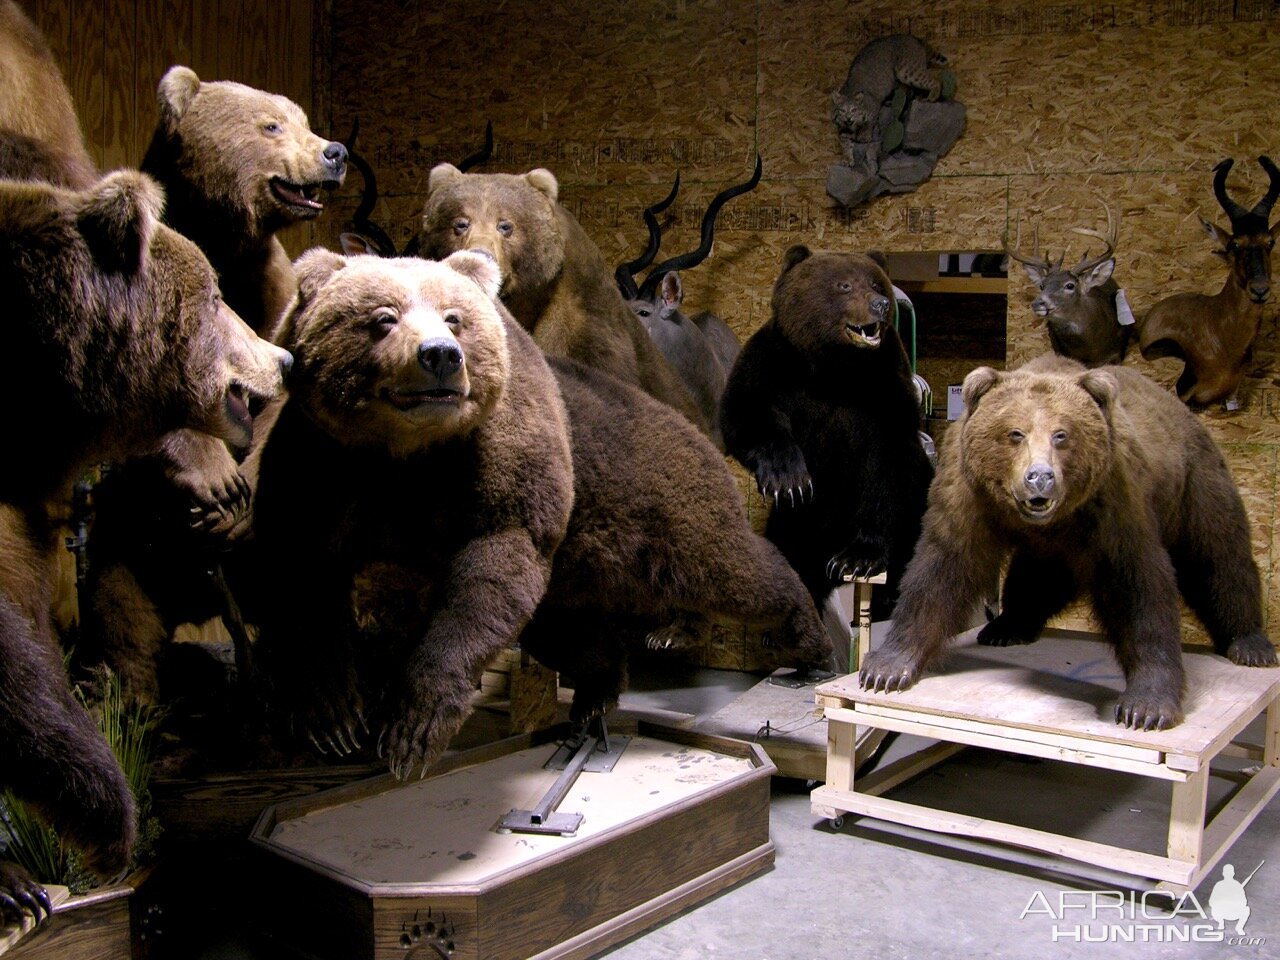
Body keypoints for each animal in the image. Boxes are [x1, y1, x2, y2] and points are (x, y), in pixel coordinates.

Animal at [860, 353, 1280, 727]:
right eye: (1015, 433)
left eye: (1062, 434)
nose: (1039, 477)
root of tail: (1180, 408)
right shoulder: (969, 494)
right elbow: (940, 568)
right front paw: (886, 668)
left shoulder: (1113, 500)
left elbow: (1139, 588)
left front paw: (1146, 707)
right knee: (1035, 579)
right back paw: (1006, 626)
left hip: (1195, 483)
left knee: (1218, 555)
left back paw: (1251, 643)